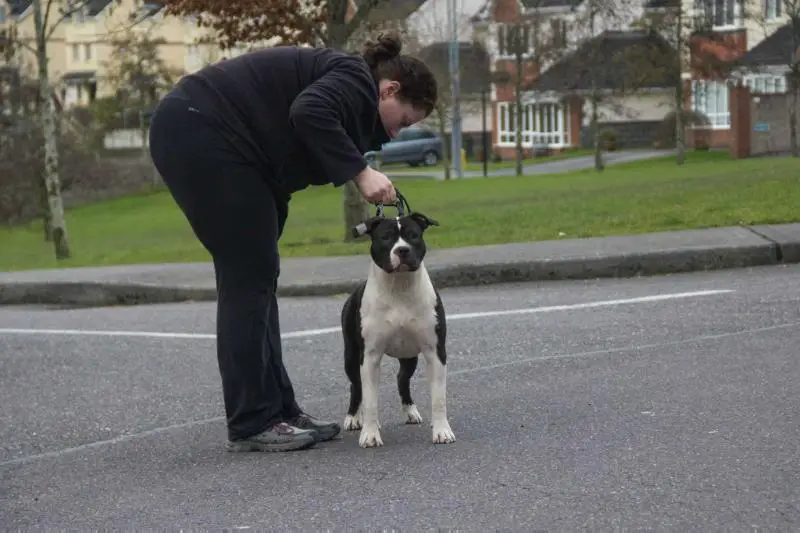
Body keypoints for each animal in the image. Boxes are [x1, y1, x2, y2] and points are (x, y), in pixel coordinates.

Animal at [340, 210, 456, 446]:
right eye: (386, 237)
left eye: (413, 235)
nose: (402, 250)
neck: (399, 286)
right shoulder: (370, 356)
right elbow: (371, 401)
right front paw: (369, 434)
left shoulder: (435, 351)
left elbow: (439, 398)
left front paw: (441, 430)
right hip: (351, 356)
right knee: (356, 386)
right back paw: (354, 418)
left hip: (409, 356)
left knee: (402, 379)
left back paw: (410, 412)